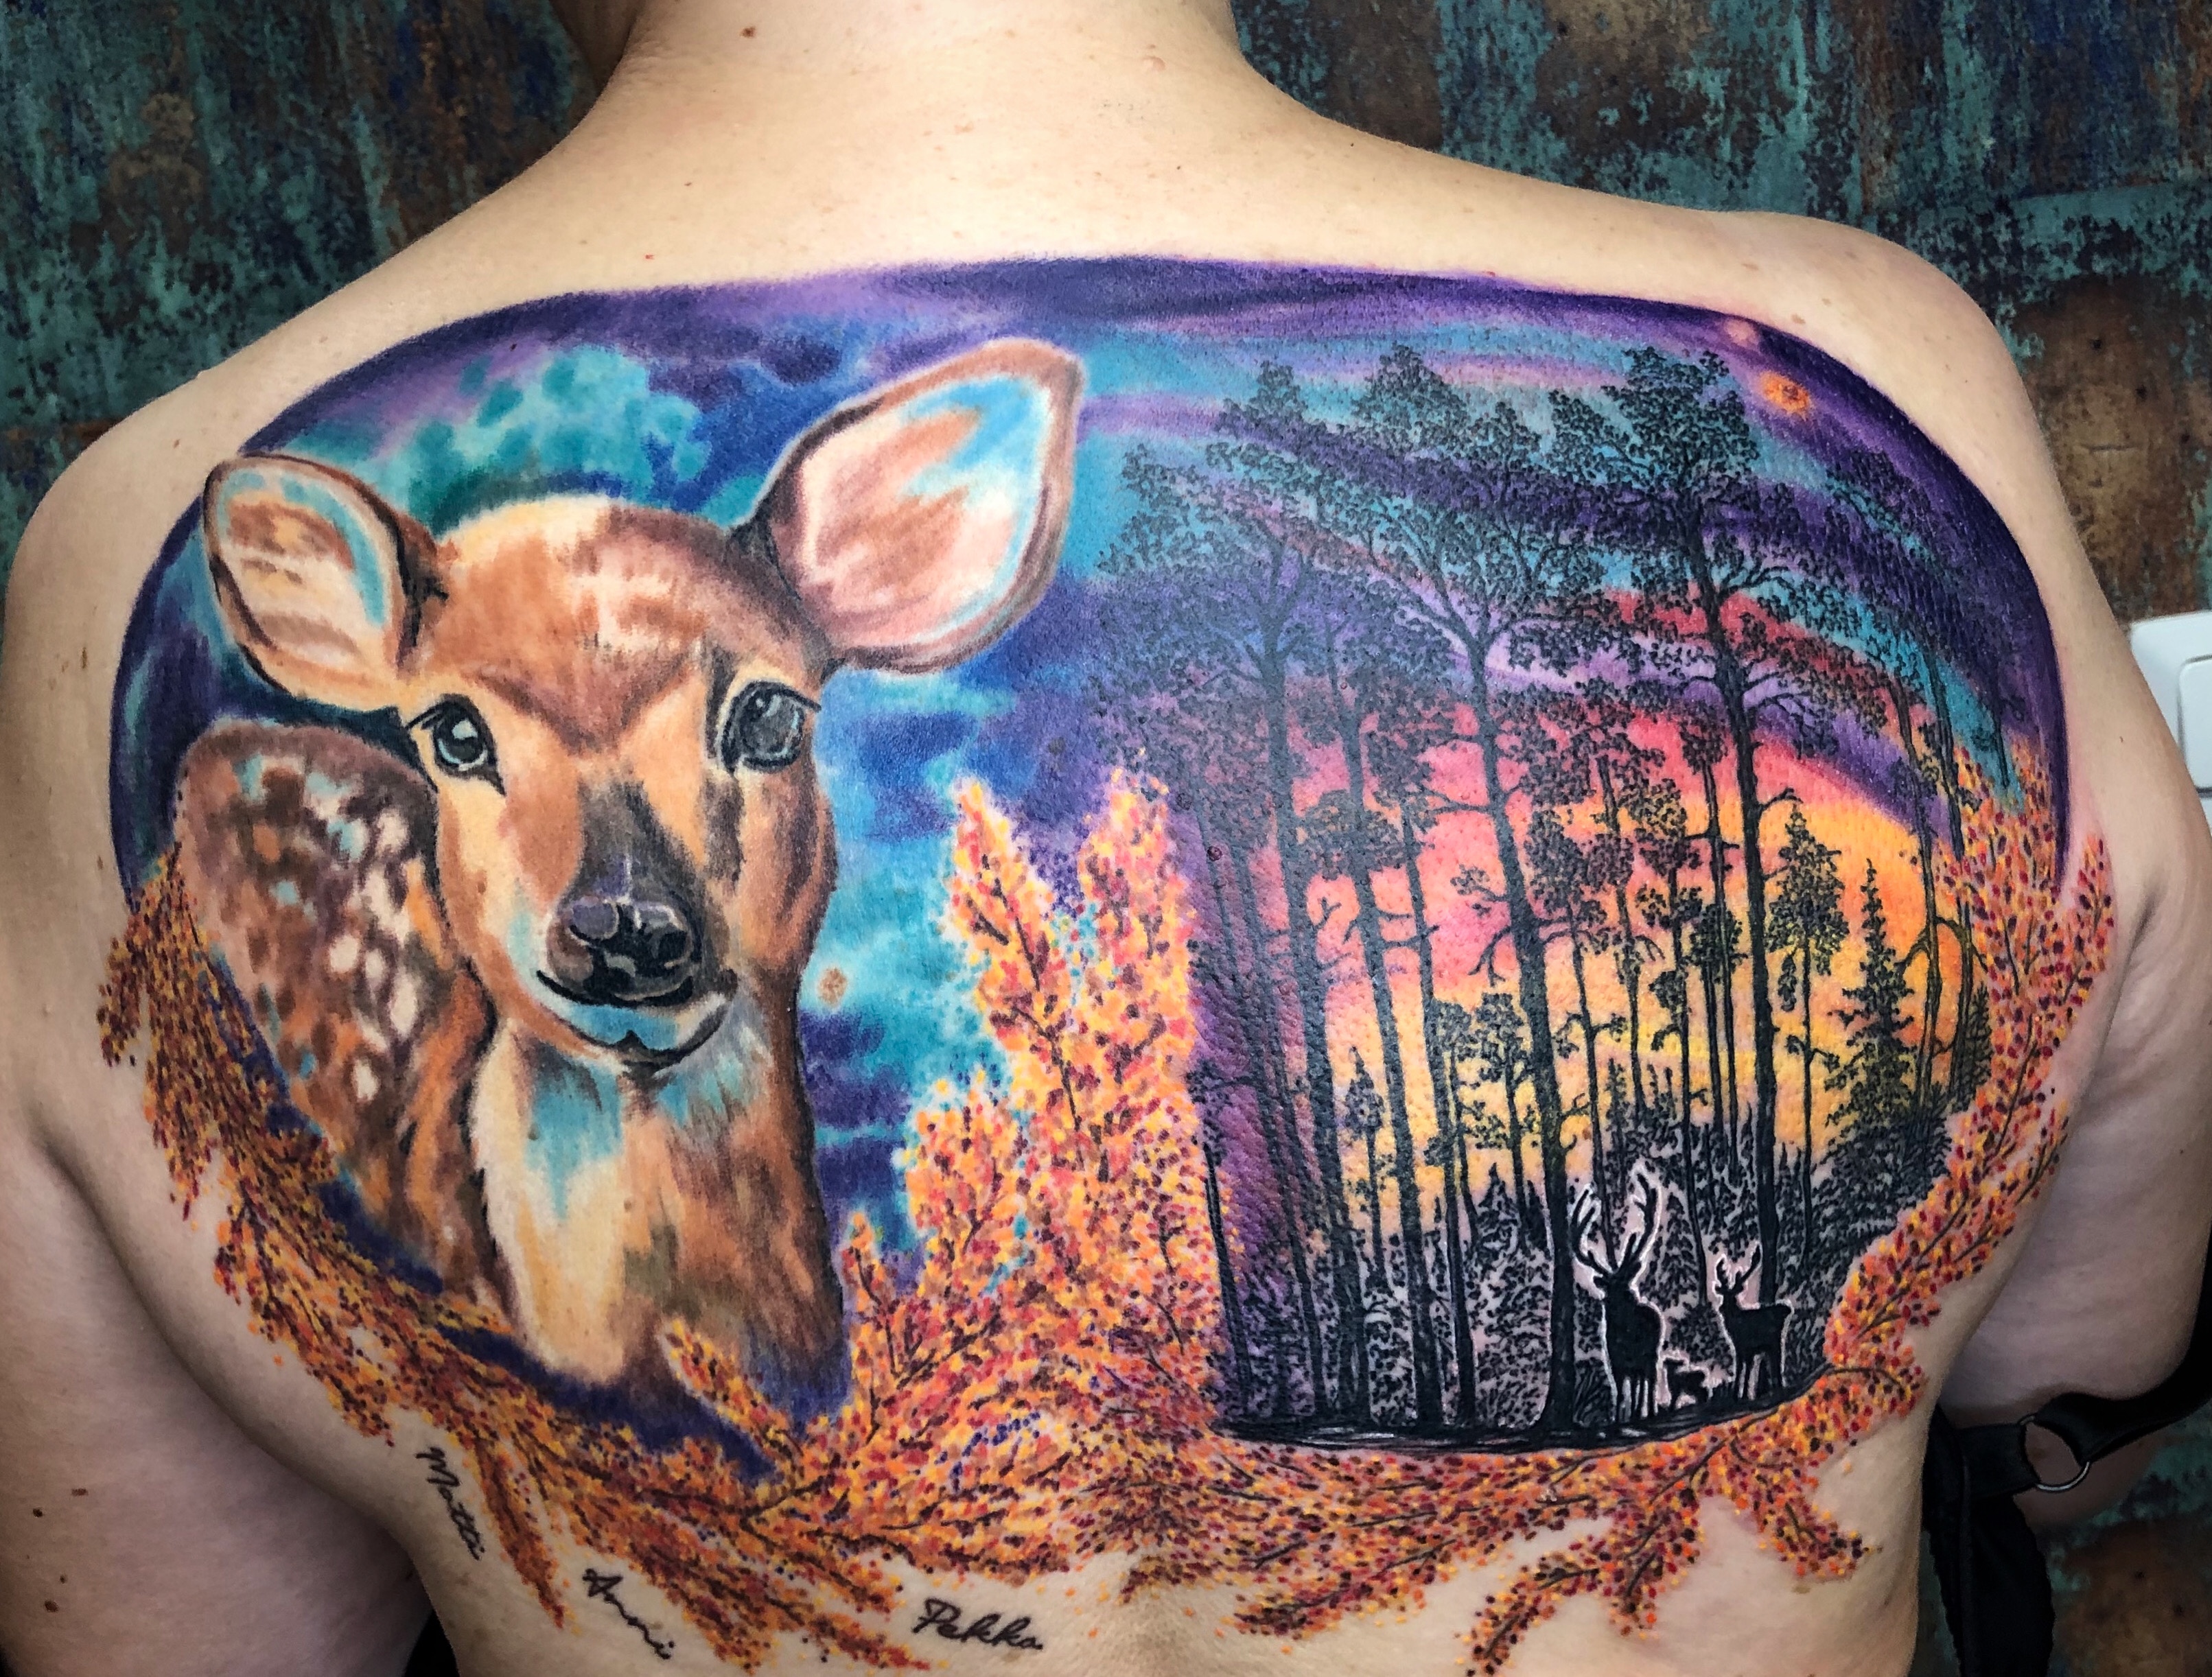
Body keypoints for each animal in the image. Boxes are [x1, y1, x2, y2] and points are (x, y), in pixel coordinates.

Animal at [1570, 1175, 1664, 1422]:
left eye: (1626, 1286)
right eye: (1608, 1291)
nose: (1630, 1298)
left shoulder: (1642, 1357)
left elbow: (1643, 1386)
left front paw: (1642, 1413)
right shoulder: (1615, 1362)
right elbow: (1622, 1392)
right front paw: (1618, 1419)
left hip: (1652, 1354)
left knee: (1650, 1380)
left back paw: (1649, 1411)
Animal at [1715, 1248, 1791, 1404]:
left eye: (1733, 1297)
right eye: (1723, 1296)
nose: (1721, 1309)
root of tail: (1787, 1309)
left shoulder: (1743, 1345)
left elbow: (1740, 1368)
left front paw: (1736, 1396)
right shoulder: (1748, 1349)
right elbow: (1748, 1369)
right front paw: (1744, 1395)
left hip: (1774, 1339)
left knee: (1777, 1363)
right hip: (1773, 1342)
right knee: (1776, 1364)